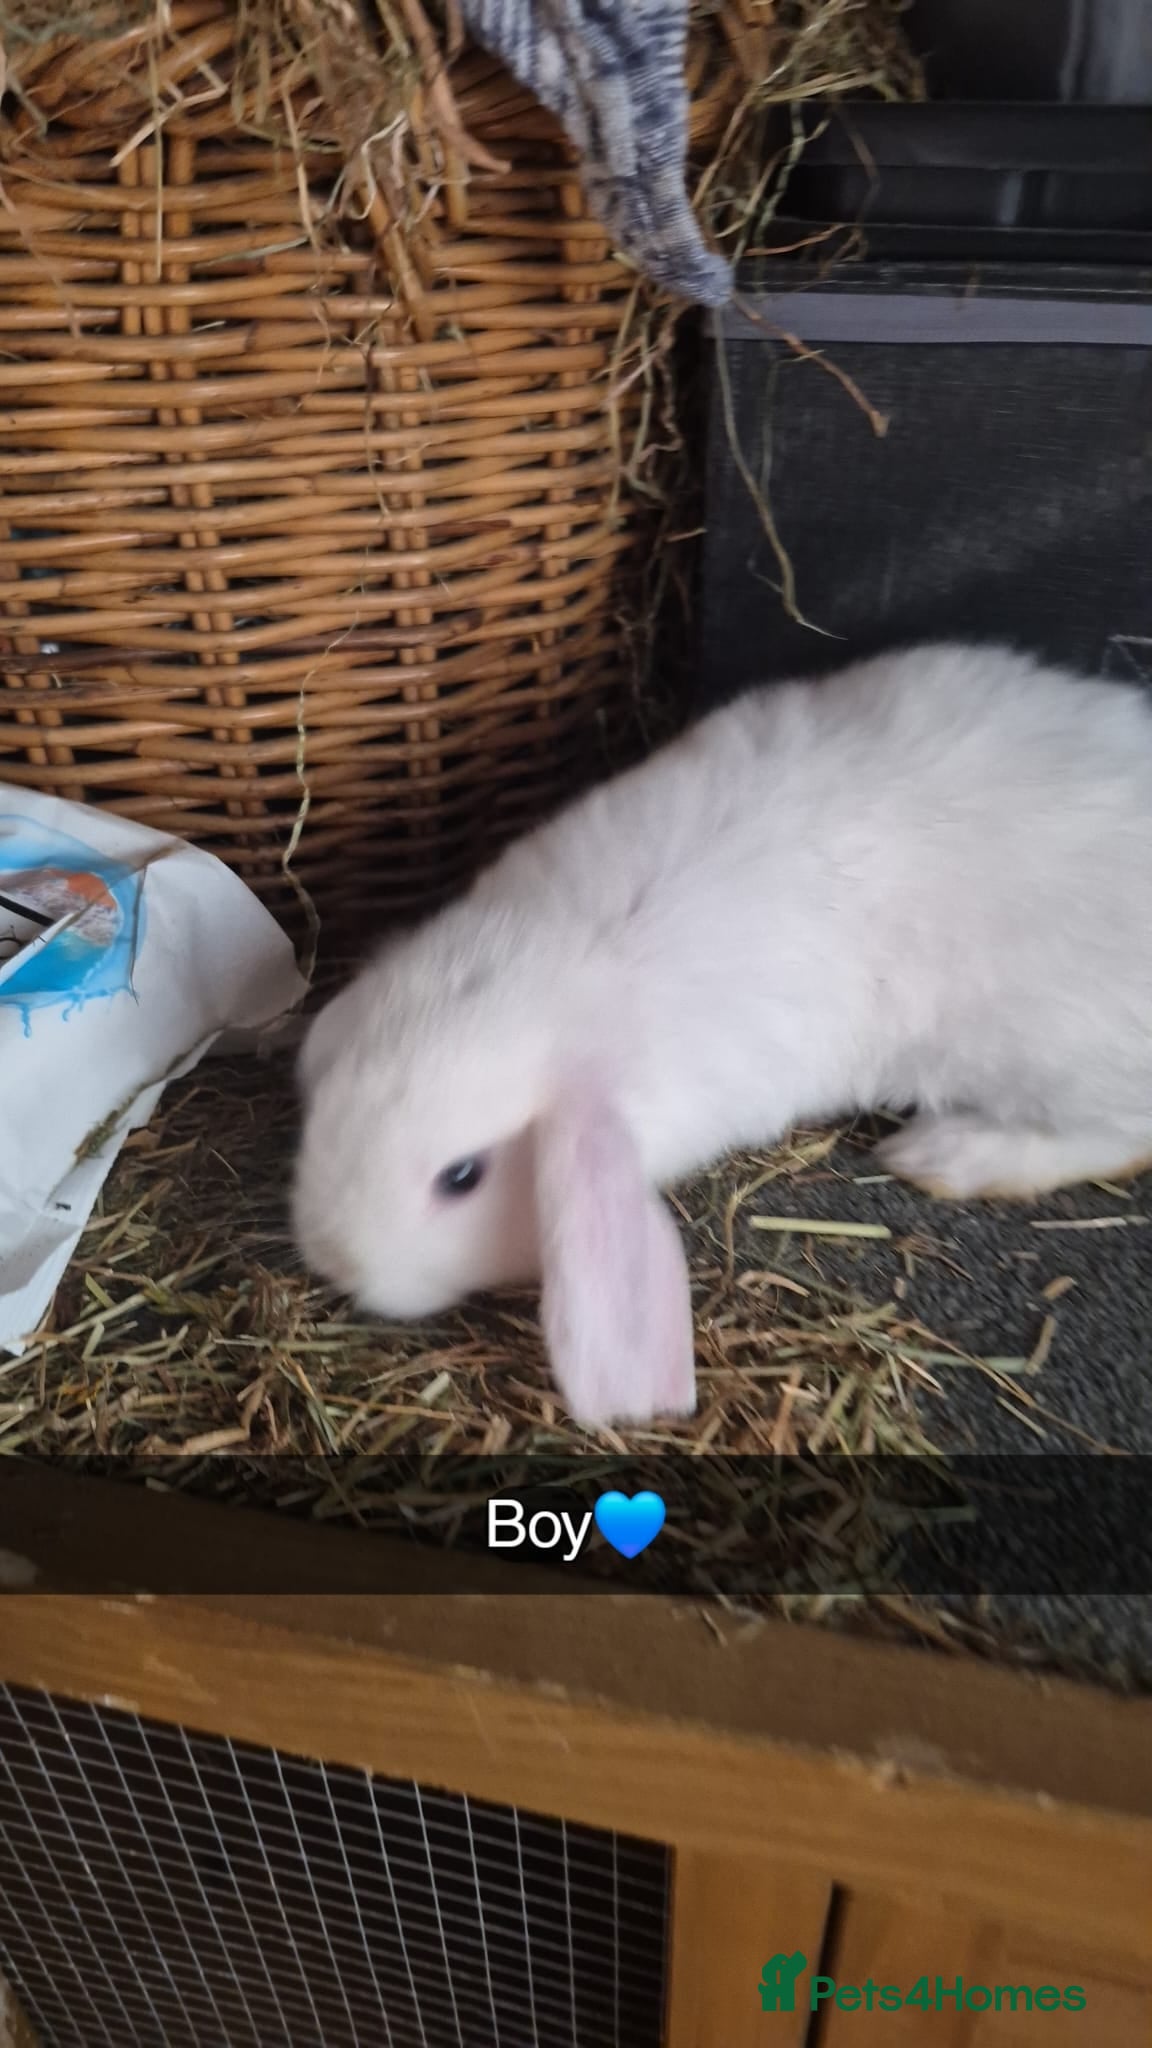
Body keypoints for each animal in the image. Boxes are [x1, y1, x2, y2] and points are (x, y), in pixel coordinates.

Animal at [292, 642, 1152, 1426]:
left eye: (461, 1177)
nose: (335, 1260)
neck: (562, 969)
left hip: (1052, 1055)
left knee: (1115, 1135)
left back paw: (944, 1155)